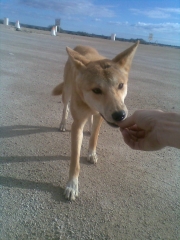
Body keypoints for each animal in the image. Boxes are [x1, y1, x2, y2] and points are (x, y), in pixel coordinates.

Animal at [52, 41, 139, 201]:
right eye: (96, 90)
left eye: (121, 85)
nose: (120, 115)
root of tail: (80, 45)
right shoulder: (77, 124)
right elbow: (75, 160)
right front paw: (72, 185)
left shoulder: (100, 117)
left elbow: (94, 137)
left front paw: (91, 153)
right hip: (66, 91)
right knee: (65, 107)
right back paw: (62, 123)